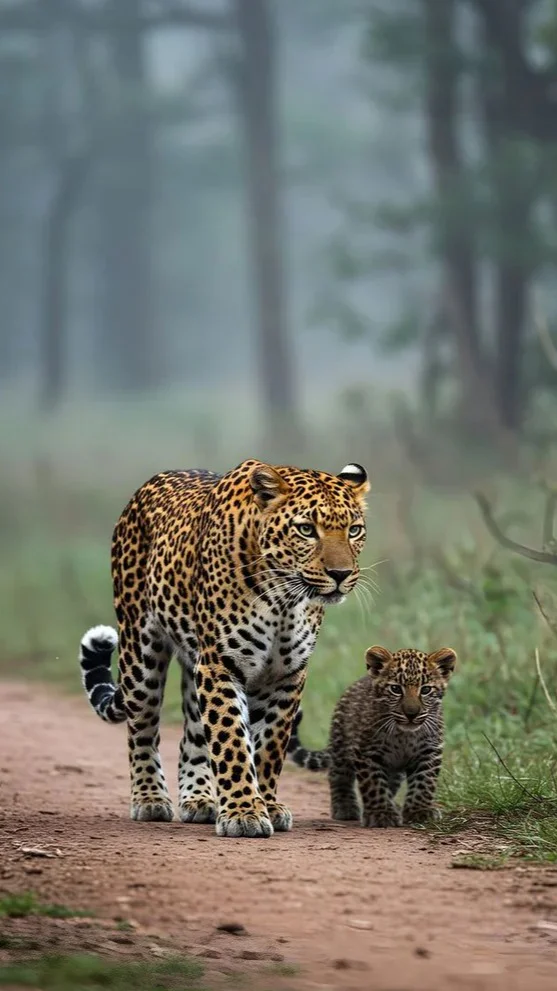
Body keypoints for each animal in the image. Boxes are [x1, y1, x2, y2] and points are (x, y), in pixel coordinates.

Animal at [78, 459, 369, 838]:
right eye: (306, 529)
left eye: (354, 530)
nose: (340, 574)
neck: (285, 599)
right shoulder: (221, 664)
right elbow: (231, 739)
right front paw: (244, 813)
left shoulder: (286, 675)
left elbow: (269, 744)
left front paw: (266, 804)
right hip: (140, 652)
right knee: (142, 729)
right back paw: (150, 798)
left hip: (193, 662)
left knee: (192, 737)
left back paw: (199, 799)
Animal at [288, 645, 456, 827]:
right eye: (395, 689)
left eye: (425, 690)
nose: (411, 714)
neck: (404, 734)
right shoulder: (367, 751)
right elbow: (374, 784)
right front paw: (381, 814)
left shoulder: (429, 751)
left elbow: (424, 782)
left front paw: (420, 811)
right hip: (341, 747)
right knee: (338, 776)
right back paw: (345, 808)